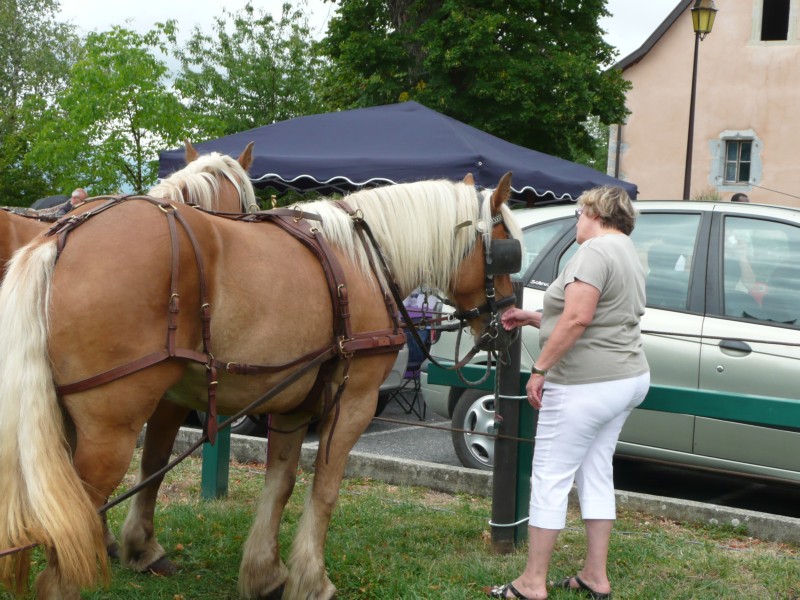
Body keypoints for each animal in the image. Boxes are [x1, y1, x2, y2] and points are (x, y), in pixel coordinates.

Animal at [0, 171, 520, 596]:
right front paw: (312, 581)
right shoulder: (352, 402)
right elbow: (324, 491)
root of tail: (62, 236)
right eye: (505, 251)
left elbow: (281, 483)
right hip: (111, 428)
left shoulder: (292, 407)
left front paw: (265, 573)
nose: (508, 322)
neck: (365, 262)